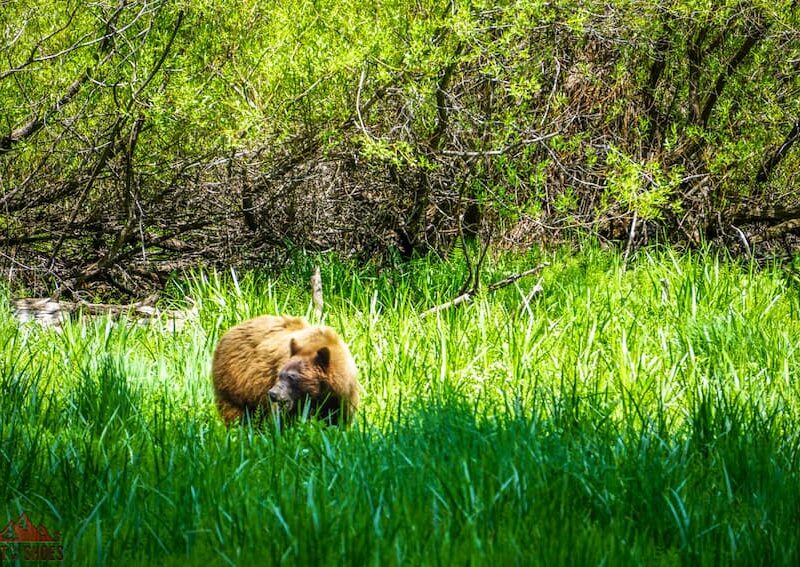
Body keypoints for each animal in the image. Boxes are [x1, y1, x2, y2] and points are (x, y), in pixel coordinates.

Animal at [212, 312, 362, 428]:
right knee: (235, 411)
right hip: (235, 383)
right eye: (280, 375)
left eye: (292, 376)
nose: (273, 393)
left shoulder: (341, 397)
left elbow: (336, 420)